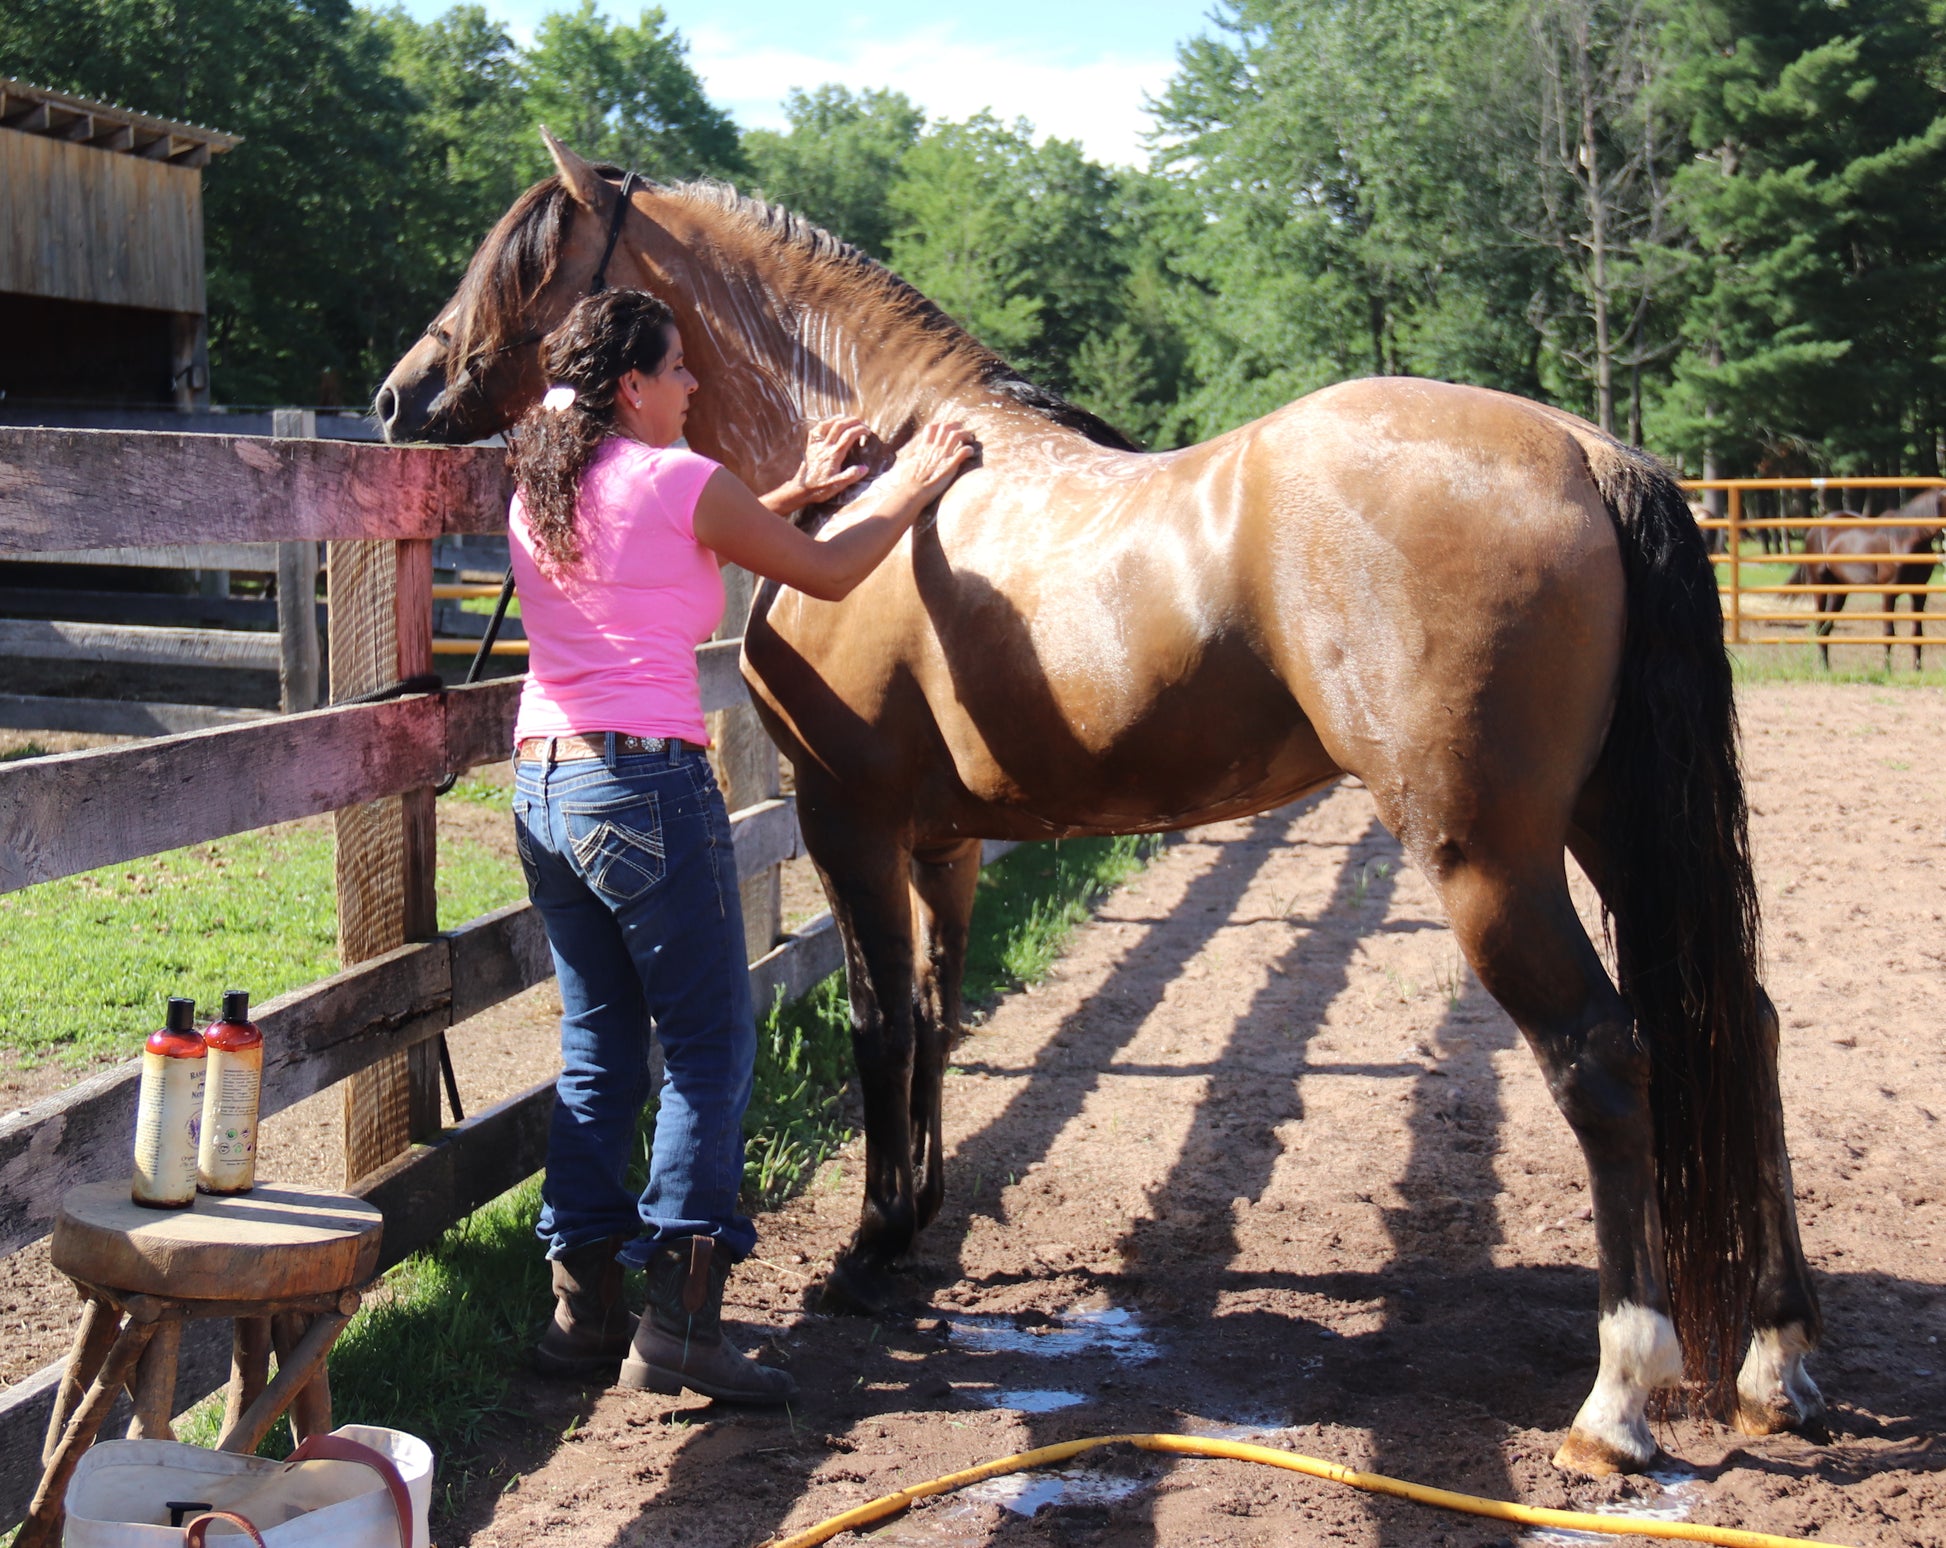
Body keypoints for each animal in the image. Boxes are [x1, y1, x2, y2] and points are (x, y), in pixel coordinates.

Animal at [375, 136, 1821, 1479]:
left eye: (522, 261)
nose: (398, 395)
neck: (877, 473)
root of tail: (1583, 451)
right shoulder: (945, 843)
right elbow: (937, 1020)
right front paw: (918, 1220)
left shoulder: (849, 822)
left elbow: (875, 1027)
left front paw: (866, 1250)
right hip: (1609, 830)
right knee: (1734, 1027)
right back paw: (1773, 1359)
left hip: (1487, 862)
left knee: (1604, 1062)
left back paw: (1615, 1404)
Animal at [1790, 492, 1946, 669]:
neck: (1904, 539)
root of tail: (1814, 530)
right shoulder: (1889, 592)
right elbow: (1888, 632)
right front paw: (1887, 670)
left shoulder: (1919, 593)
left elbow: (1917, 633)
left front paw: (1917, 669)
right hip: (1819, 586)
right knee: (1819, 625)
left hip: (1839, 591)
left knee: (1826, 627)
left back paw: (1826, 668)